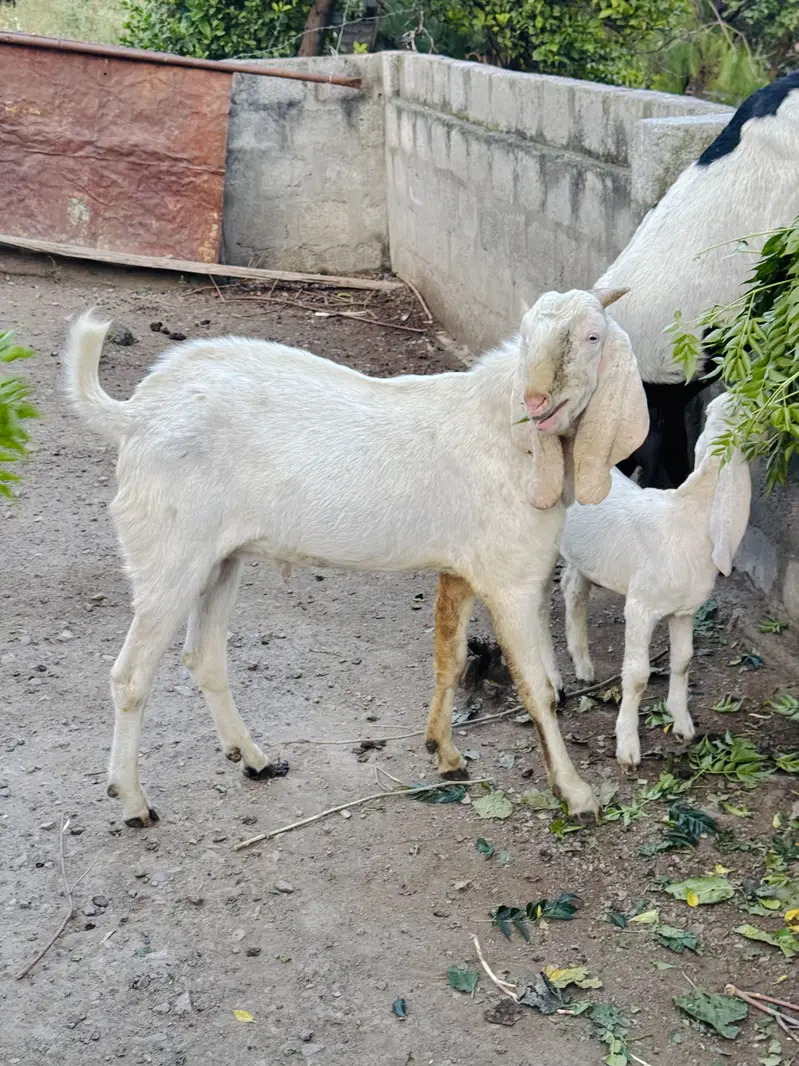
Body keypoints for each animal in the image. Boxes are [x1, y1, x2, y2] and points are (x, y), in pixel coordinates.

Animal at [64, 288, 648, 826]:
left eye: (592, 337)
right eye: (525, 336)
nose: (535, 402)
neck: (507, 436)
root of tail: (137, 414)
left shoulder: (460, 567)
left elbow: (450, 660)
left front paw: (445, 753)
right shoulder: (511, 579)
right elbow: (538, 689)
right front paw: (575, 793)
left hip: (219, 559)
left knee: (203, 656)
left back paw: (253, 759)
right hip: (168, 555)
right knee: (130, 676)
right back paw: (133, 801)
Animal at [558, 393, 751, 770]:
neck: (688, 519)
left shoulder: (685, 610)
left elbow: (684, 660)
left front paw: (683, 725)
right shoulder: (641, 607)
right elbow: (636, 676)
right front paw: (628, 747)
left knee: (573, 587)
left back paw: (583, 665)